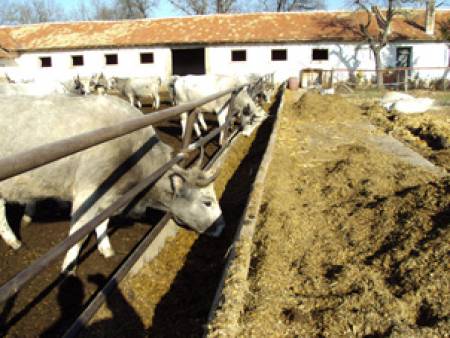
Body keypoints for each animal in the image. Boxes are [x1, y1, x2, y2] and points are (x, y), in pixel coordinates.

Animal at [0, 94, 224, 272]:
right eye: (207, 202)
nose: (222, 227)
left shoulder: (109, 198)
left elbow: (102, 221)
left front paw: (105, 248)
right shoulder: (88, 193)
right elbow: (78, 234)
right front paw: (68, 268)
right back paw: (14, 240)